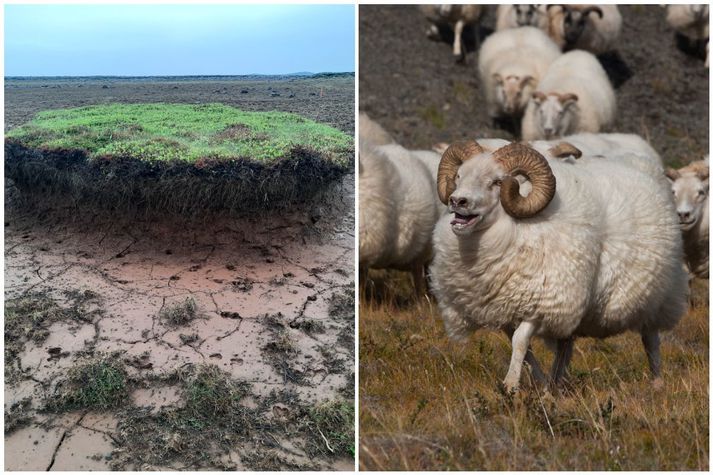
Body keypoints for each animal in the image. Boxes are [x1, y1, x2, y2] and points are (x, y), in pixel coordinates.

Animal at [426, 139, 688, 392]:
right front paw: (540, 383)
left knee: (650, 339)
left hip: (658, 297)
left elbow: (520, 341)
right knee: (565, 344)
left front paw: (510, 385)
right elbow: (523, 347)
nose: (457, 201)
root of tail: (640, 164)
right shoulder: (506, 308)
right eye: (459, 176)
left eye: (498, 181)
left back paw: (657, 382)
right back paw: (556, 381)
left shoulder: (540, 303)